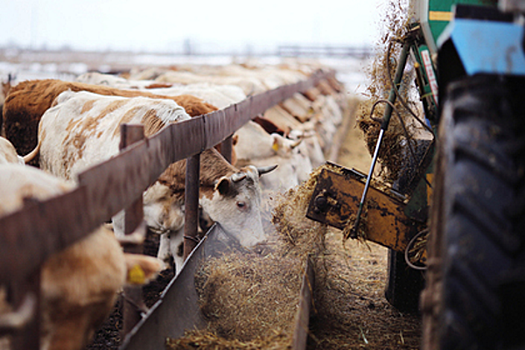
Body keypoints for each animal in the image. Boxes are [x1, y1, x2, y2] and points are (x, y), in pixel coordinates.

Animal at [25, 91, 274, 274]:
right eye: (241, 204)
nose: (261, 243)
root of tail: (67, 96)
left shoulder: (180, 214)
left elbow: (179, 250)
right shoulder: (122, 218)